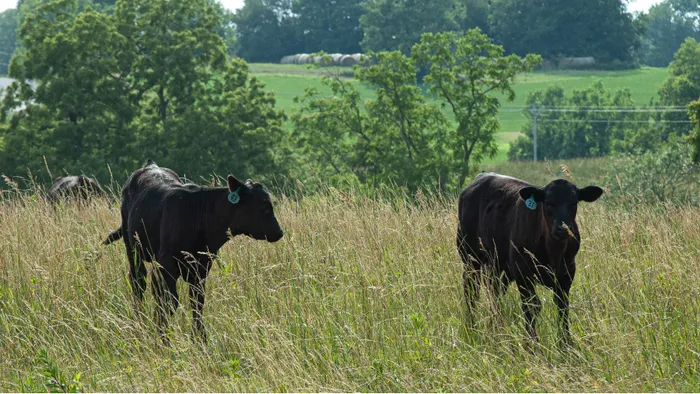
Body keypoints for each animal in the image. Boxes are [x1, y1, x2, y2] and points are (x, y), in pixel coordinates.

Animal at [102, 159, 284, 344]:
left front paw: (200, 339)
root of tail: (150, 165)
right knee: (138, 282)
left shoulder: (201, 266)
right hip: (132, 247)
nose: (279, 232)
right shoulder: (167, 265)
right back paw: (137, 321)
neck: (200, 216)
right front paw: (163, 338)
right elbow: (169, 301)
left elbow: (197, 301)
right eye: (264, 207)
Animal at [456, 172, 604, 342]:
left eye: (574, 203)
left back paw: (496, 329)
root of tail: (482, 175)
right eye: (548, 203)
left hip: (498, 266)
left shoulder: (567, 273)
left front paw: (565, 344)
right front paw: (531, 344)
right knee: (471, 292)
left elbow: (562, 307)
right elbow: (531, 306)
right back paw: (471, 330)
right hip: (469, 257)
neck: (553, 252)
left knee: (495, 293)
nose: (562, 228)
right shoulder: (522, 272)